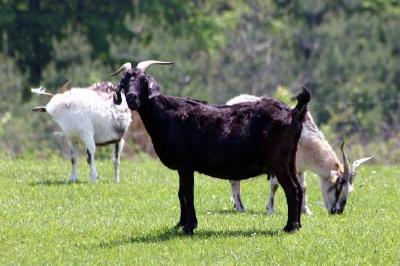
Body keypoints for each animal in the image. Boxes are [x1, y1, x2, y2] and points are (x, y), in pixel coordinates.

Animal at [111, 60, 310, 235]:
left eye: (144, 81)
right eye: (124, 82)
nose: (132, 98)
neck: (168, 115)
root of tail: (293, 112)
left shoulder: (186, 165)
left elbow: (188, 194)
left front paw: (189, 227)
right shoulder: (182, 167)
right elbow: (181, 194)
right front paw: (180, 224)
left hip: (279, 162)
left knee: (292, 189)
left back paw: (290, 227)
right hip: (290, 159)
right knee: (299, 188)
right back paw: (299, 225)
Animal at [228, 94, 376, 215]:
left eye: (349, 190)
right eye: (338, 188)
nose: (337, 211)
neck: (304, 138)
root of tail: (234, 100)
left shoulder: (300, 168)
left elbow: (303, 187)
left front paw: (306, 211)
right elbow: (274, 185)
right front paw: (270, 209)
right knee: (235, 180)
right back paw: (240, 207)